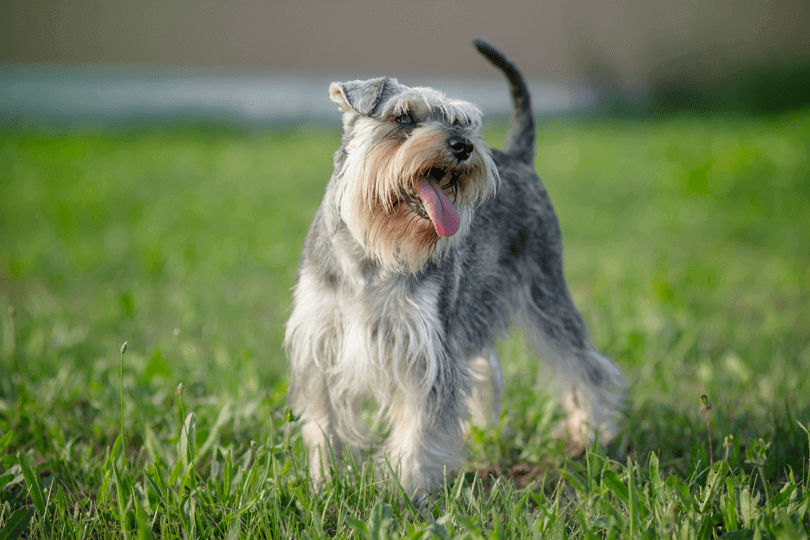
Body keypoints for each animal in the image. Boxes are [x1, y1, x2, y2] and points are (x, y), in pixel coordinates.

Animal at [284, 39, 624, 498]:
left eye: (461, 121)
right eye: (403, 117)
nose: (463, 145)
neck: (371, 254)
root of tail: (519, 157)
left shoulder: (425, 351)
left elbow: (419, 428)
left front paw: (406, 491)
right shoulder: (320, 346)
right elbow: (325, 425)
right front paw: (325, 482)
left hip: (546, 296)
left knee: (585, 365)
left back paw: (593, 433)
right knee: (486, 369)